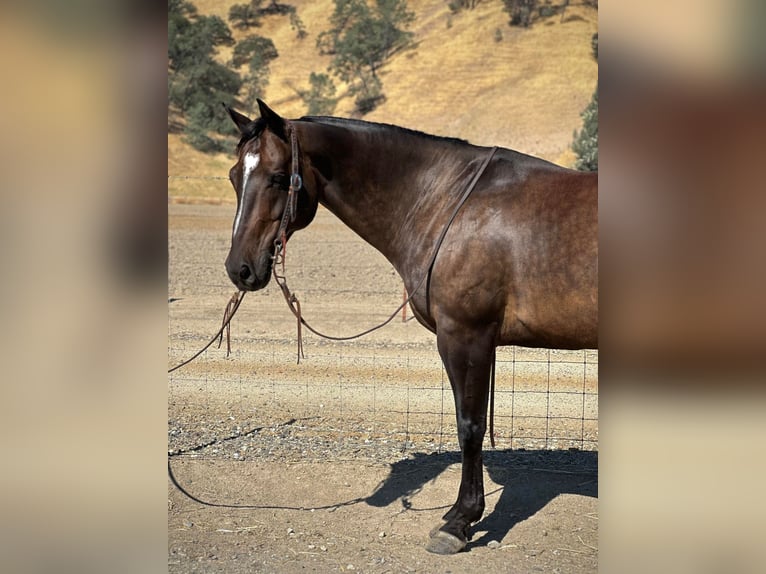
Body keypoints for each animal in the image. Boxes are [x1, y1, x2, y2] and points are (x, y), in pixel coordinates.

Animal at [222, 101, 600, 556]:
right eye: (234, 176)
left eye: (278, 177)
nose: (240, 269)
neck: (448, 200)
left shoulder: (466, 336)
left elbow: (470, 427)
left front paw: (459, 521)